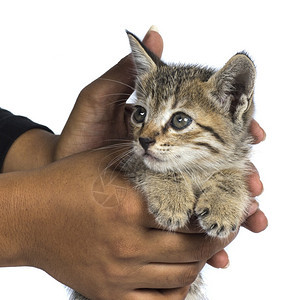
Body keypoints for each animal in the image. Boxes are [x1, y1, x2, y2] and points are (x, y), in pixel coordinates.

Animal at [69, 30, 255, 300]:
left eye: (180, 120)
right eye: (140, 114)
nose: (144, 140)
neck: (195, 167)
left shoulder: (236, 157)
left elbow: (231, 173)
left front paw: (223, 205)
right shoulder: (129, 160)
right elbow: (149, 166)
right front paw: (172, 199)